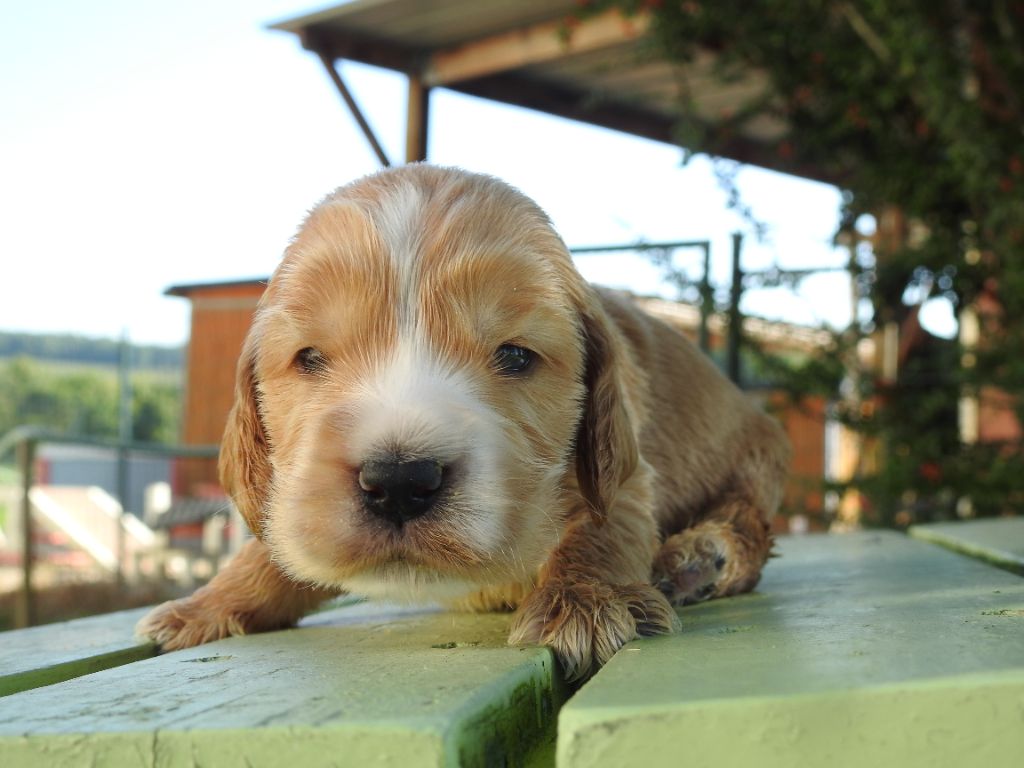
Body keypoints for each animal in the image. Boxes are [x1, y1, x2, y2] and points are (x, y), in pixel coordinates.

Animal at [138, 165, 790, 684]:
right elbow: (279, 541)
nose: (399, 482)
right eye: (311, 358)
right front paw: (206, 604)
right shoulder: (299, 493)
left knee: (750, 529)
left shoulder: (624, 471)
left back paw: (696, 561)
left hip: (757, 461)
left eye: (516, 355)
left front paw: (584, 598)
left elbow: (603, 529)